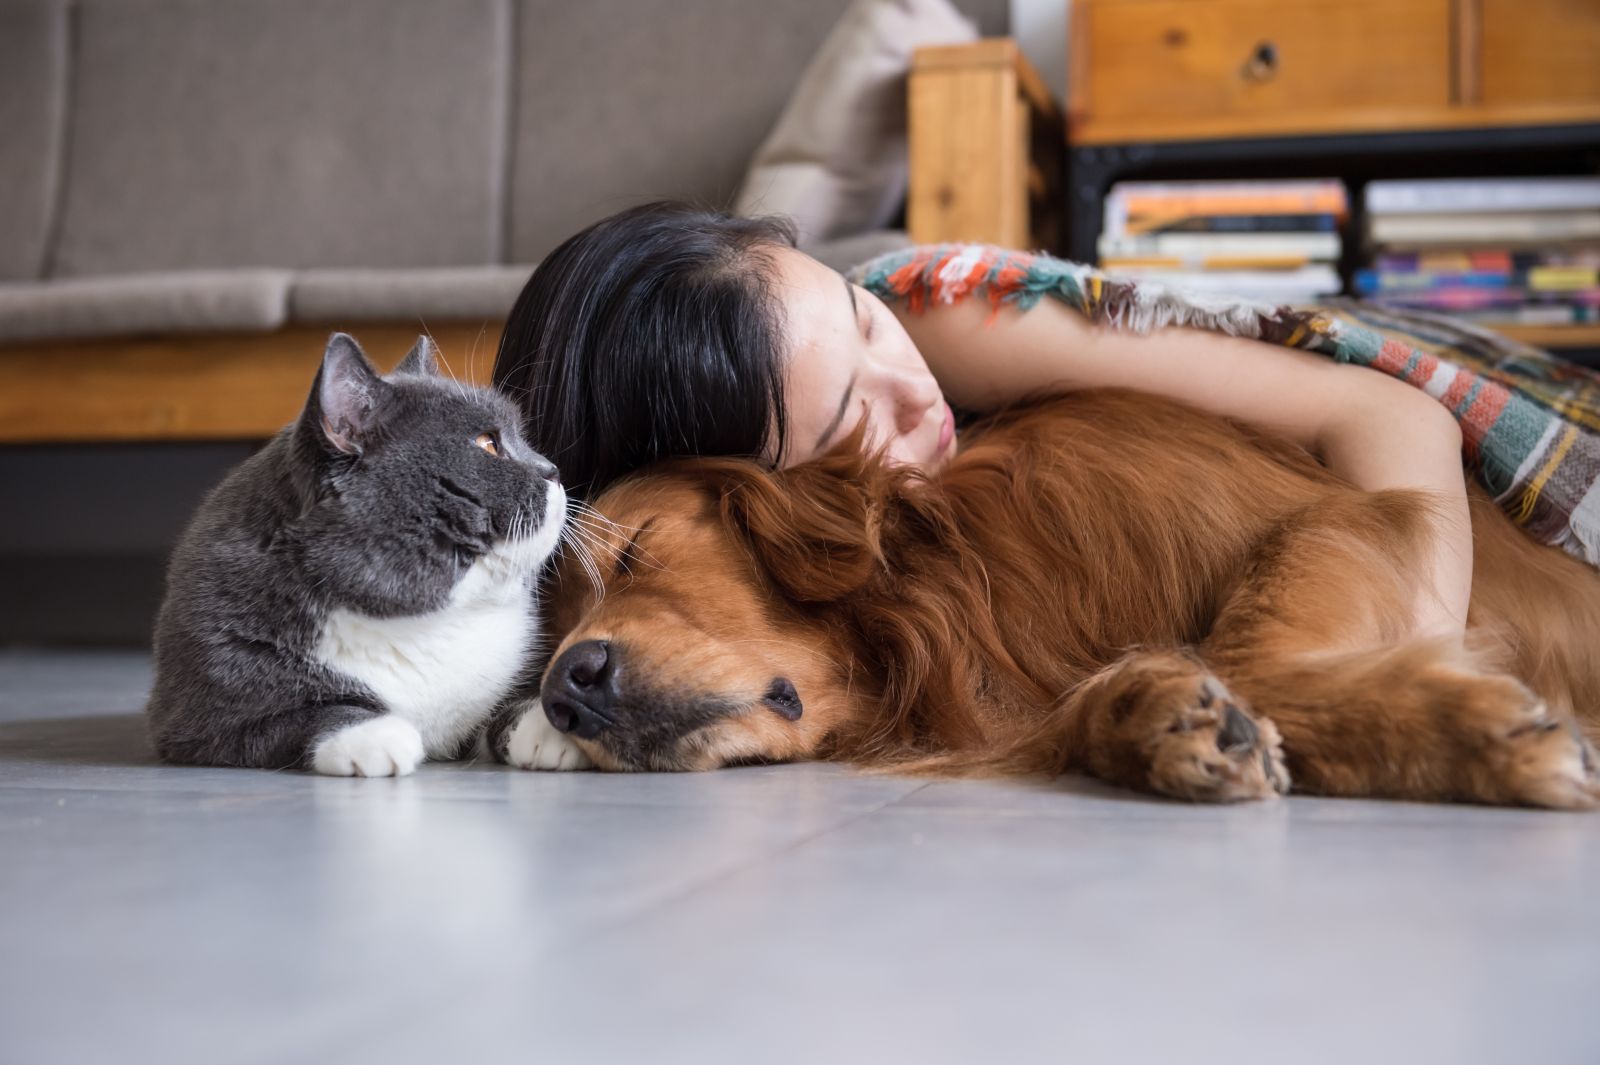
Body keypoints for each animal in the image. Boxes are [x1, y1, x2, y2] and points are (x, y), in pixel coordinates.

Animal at [145, 332, 569, 770]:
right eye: (487, 443)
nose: (553, 469)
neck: (425, 623)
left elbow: (505, 703)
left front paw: (548, 728)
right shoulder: (200, 713)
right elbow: (297, 717)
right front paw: (374, 735)